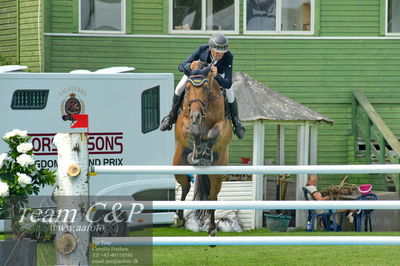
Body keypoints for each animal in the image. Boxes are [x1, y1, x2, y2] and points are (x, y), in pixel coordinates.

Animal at [173, 61, 234, 236]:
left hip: (218, 174)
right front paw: (197, 150)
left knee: (213, 197)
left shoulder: (223, 125)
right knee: (185, 186)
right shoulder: (184, 124)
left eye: (206, 88)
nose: (196, 115)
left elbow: (214, 133)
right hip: (177, 165)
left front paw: (205, 152)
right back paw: (179, 217)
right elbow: (193, 131)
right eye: (187, 88)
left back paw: (212, 228)